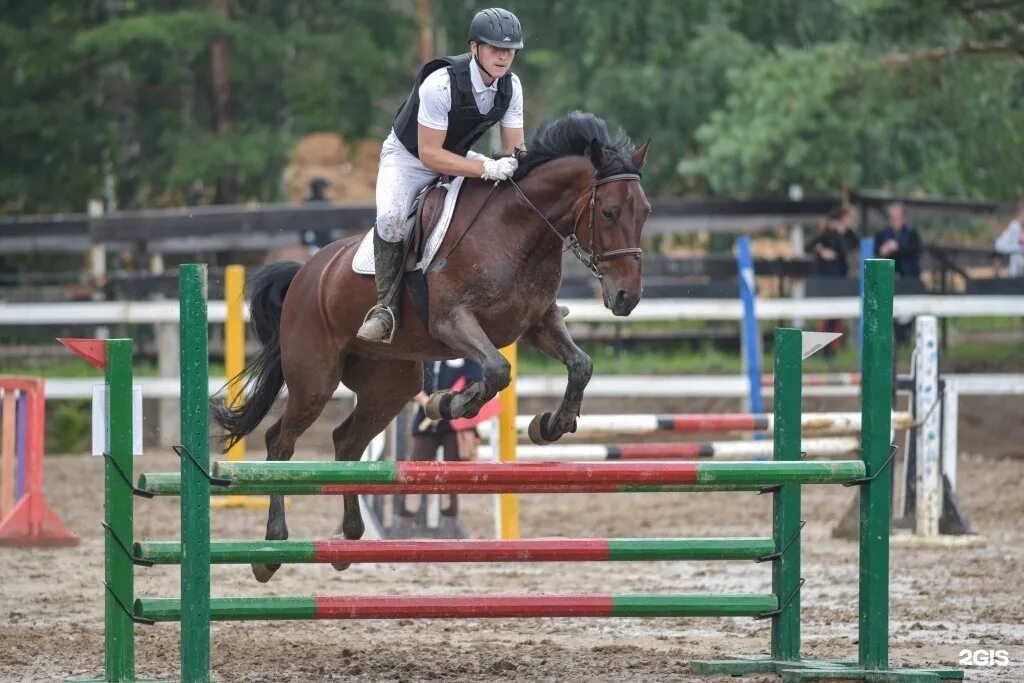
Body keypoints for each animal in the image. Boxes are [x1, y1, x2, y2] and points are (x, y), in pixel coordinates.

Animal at [211, 112, 651, 581]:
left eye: (645, 212)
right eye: (609, 212)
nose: (626, 297)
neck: (517, 229)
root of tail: (306, 273)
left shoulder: (537, 324)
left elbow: (580, 364)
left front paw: (552, 423)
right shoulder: (453, 322)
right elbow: (497, 370)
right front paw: (450, 404)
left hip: (389, 386)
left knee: (346, 440)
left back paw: (349, 537)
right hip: (315, 378)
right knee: (281, 440)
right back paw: (271, 550)